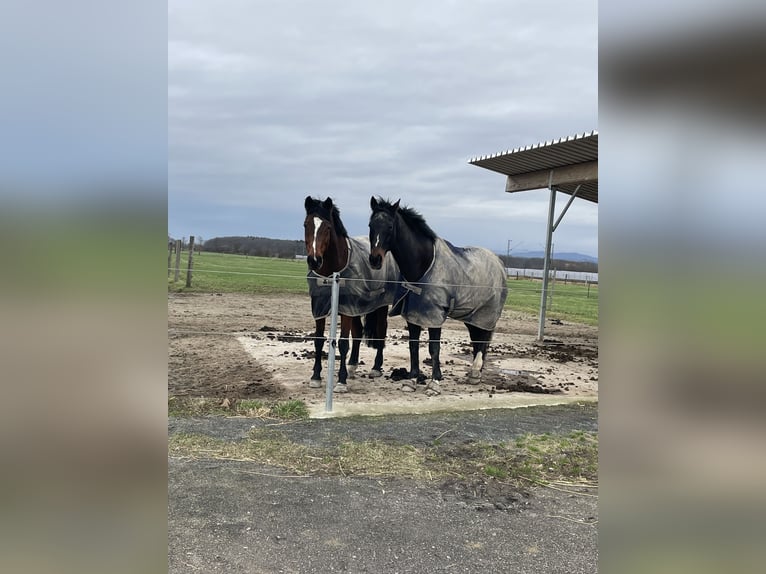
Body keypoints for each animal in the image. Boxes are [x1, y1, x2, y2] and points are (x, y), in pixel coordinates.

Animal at [306, 197, 402, 392]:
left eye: (327, 227)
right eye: (306, 224)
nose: (314, 260)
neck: (331, 274)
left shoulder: (346, 309)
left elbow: (343, 343)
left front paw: (341, 381)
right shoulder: (320, 308)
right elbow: (318, 340)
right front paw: (316, 377)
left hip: (379, 305)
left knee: (381, 329)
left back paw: (376, 368)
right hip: (357, 307)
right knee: (358, 332)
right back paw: (352, 366)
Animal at [368, 196, 508, 390]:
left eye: (389, 226)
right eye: (370, 225)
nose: (375, 260)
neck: (424, 263)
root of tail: (499, 263)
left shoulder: (434, 314)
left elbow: (434, 348)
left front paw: (434, 381)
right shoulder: (413, 313)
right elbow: (413, 345)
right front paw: (412, 379)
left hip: (486, 314)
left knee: (483, 339)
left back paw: (475, 372)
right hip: (472, 315)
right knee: (477, 339)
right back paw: (475, 374)